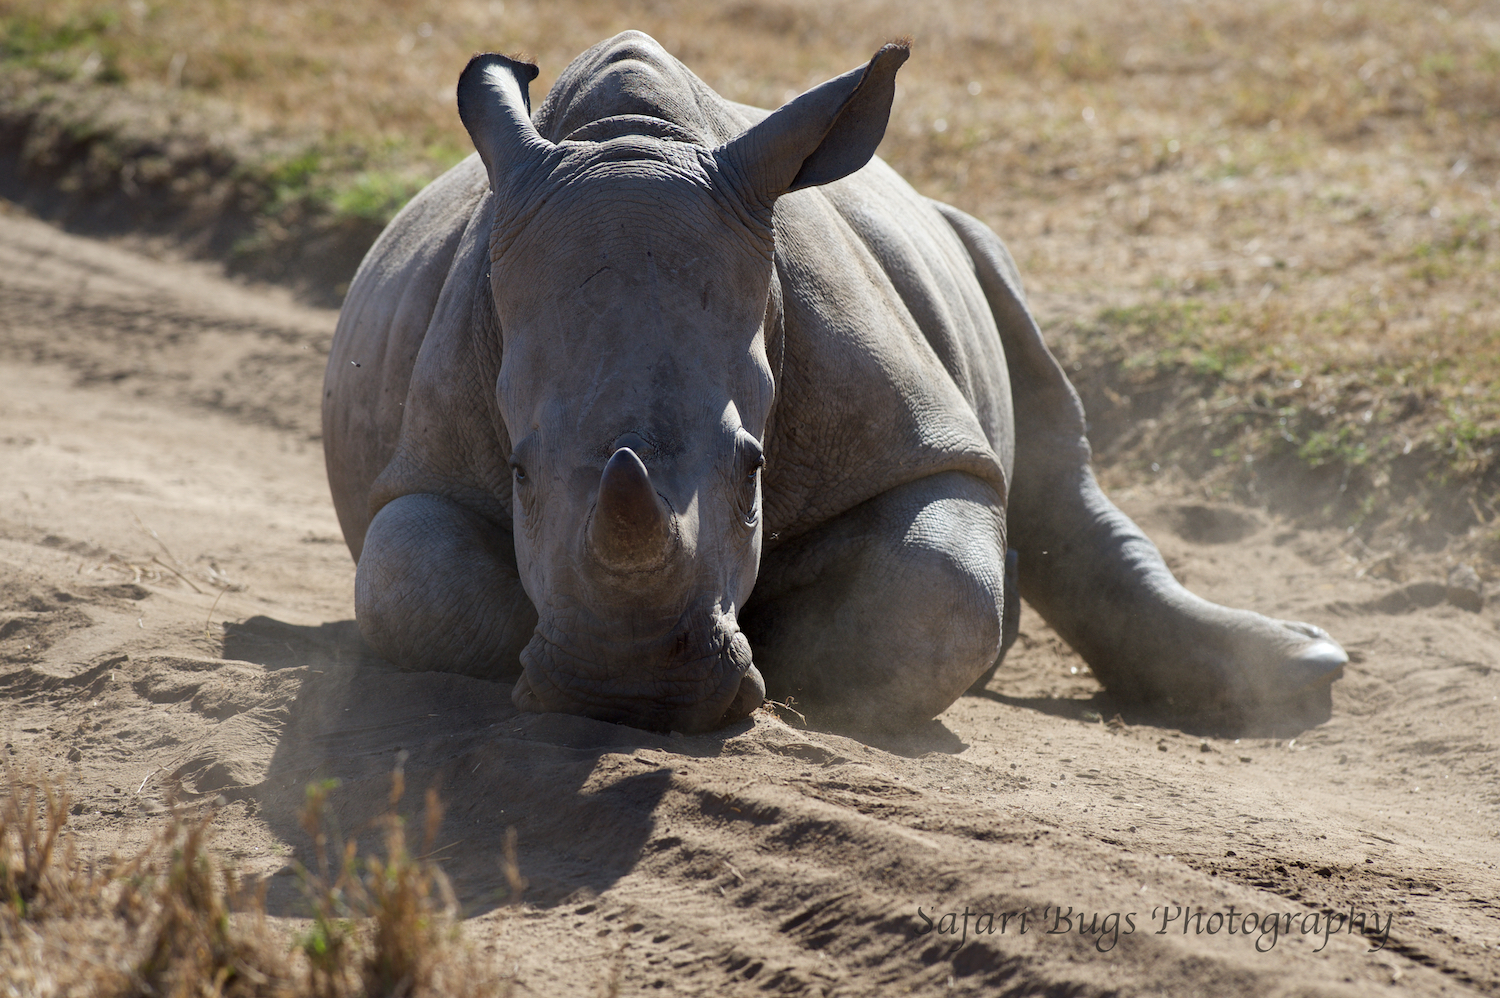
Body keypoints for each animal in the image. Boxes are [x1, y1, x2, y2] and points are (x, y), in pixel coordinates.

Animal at [319, 31, 1350, 732]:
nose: (628, 690)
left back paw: (1300, 669)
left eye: (754, 466)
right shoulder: (426, 462)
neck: (636, 138)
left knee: (1046, 434)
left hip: (963, 231)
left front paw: (788, 660)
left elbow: (933, 593)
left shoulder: (921, 439)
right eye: (519, 472)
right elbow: (414, 585)